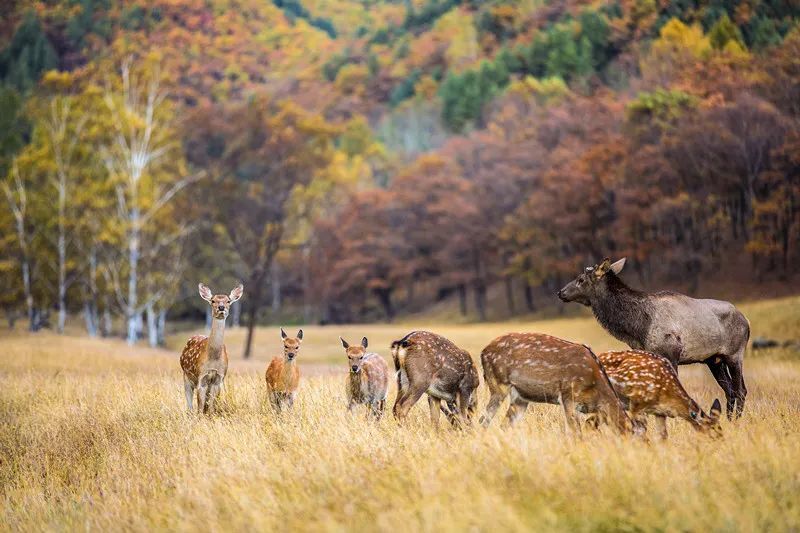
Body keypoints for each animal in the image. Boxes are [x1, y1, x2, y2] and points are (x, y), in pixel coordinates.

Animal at [179, 283, 243, 414]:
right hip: (186, 376)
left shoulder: (219, 378)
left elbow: (211, 408)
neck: (213, 358)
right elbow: (200, 408)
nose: (221, 307)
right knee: (189, 406)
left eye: (228, 301)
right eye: (213, 300)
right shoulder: (201, 377)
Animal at [479, 332, 632, 435]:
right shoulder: (568, 395)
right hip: (499, 384)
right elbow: (576, 432)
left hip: (520, 398)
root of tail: (483, 352)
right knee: (483, 420)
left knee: (503, 425)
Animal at [558, 257, 750, 419]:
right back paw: (728, 420)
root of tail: (746, 321)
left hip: (734, 354)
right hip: (714, 360)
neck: (636, 327)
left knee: (740, 390)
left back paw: (735, 422)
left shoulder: (671, 353)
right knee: (729, 390)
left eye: (581, 279)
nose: (560, 292)